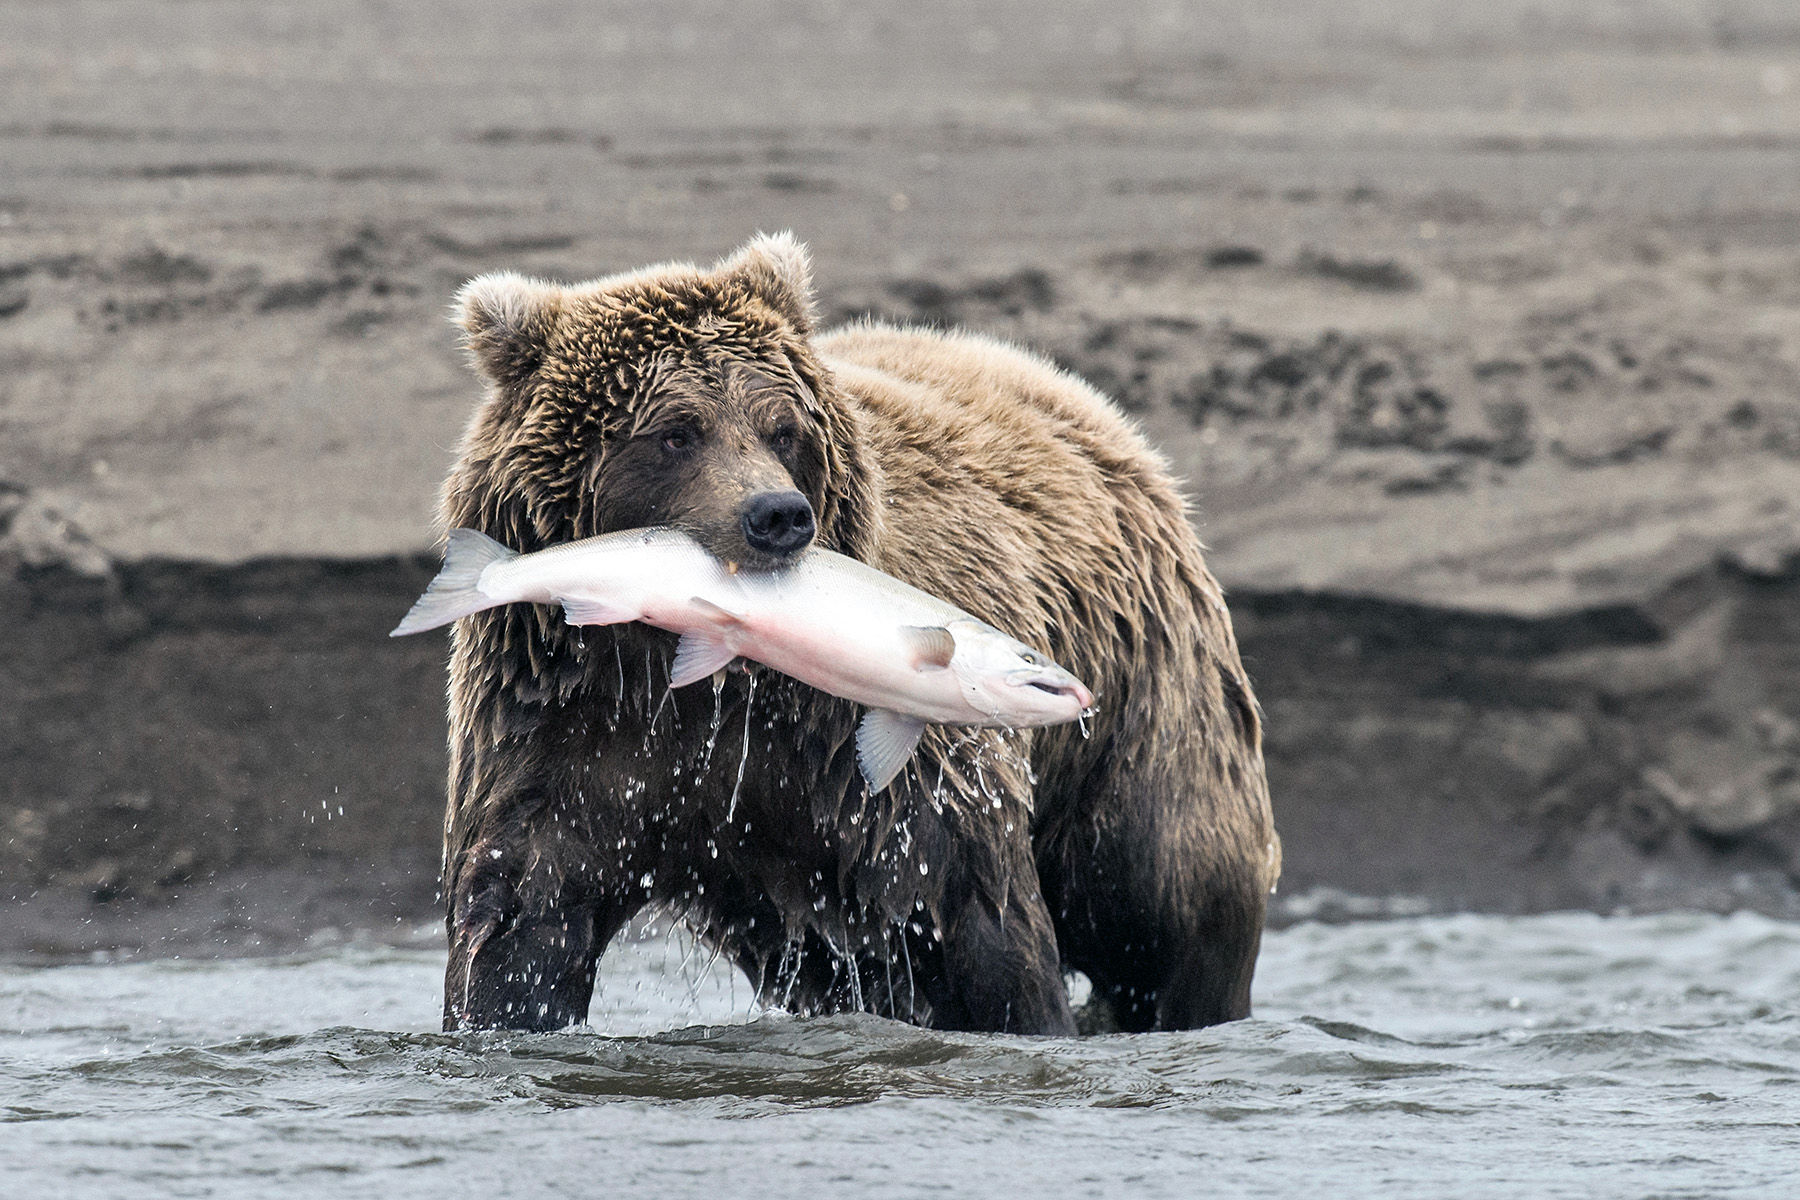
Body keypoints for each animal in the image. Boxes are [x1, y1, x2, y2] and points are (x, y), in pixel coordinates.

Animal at [435, 233, 1279, 1035]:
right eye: (676, 432)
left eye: (782, 428)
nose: (776, 515)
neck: (702, 673)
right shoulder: (571, 726)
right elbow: (523, 914)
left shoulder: (869, 761)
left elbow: (974, 915)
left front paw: (1029, 1018)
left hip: (1144, 704)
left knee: (1166, 898)